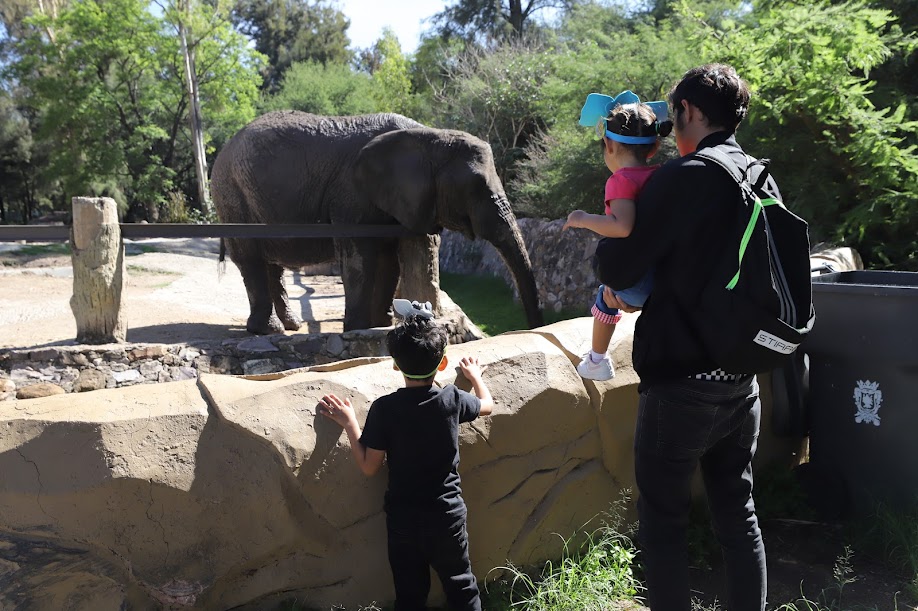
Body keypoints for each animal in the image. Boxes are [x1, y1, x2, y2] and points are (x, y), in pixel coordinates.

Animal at [208, 112, 544, 338]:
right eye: (475, 187)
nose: (532, 331)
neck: (428, 137)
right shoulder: (350, 193)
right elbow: (360, 258)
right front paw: (357, 329)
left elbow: (387, 258)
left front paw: (381, 324)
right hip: (232, 194)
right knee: (251, 257)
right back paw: (268, 331)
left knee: (271, 262)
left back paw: (292, 325)